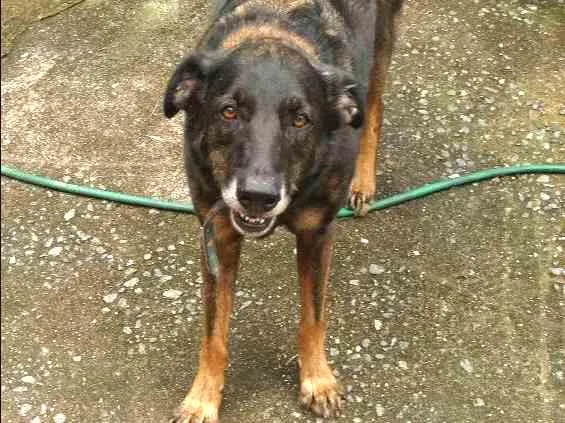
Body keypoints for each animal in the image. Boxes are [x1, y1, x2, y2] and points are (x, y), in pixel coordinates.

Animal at [164, 1, 403, 421]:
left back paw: (363, 181)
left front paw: (317, 379)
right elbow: (213, 332)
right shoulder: (217, 234)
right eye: (229, 112)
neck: (275, 28)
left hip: (381, 43)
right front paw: (203, 397)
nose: (257, 197)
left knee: (374, 104)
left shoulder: (317, 234)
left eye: (300, 120)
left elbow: (313, 316)